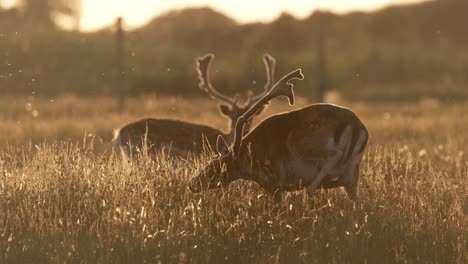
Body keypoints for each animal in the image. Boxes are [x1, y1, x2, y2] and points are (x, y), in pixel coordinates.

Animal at [190, 69, 370, 209]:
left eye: (215, 165)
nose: (193, 183)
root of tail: (355, 126)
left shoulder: (274, 182)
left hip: (305, 143)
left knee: (332, 155)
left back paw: (310, 190)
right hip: (354, 170)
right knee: (357, 201)